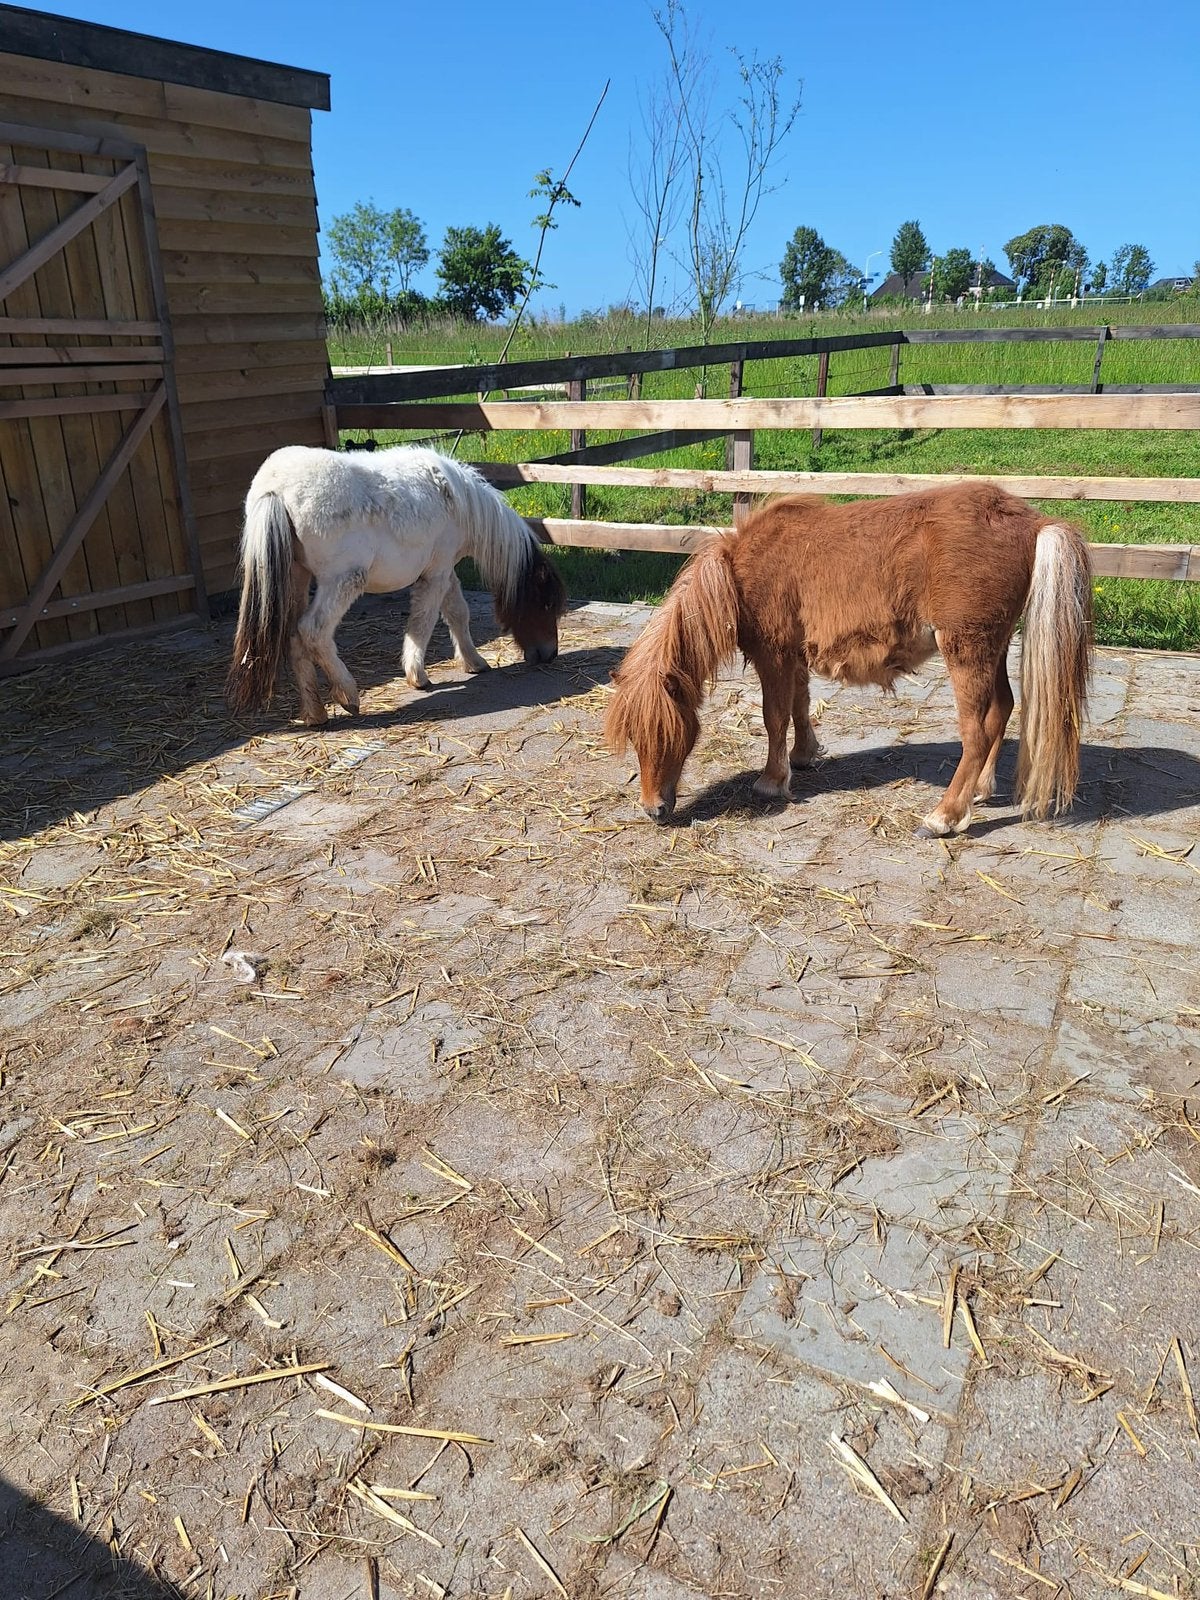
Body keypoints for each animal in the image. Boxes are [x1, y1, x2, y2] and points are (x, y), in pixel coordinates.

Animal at [225, 444, 566, 725]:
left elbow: (458, 613)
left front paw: (474, 662)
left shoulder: (444, 571)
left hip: (297, 577)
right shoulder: (436, 574)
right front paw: (418, 676)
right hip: (342, 582)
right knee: (313, 631)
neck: (457, 500)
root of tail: (274, 488)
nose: (549, 653)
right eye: (545, 603)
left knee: (295, 637)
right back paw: (348, 695)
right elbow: (423, 623)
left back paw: (315, 713)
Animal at [604, 482, 1093, 836]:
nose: (653, 810)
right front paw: (802, 756)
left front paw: (771, 781)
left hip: (966, 650)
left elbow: (774, 716)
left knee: (977, 730)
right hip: (991, 648)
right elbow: (798, 708)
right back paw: (979, 792)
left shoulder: (773, 655)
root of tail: (1035, 521)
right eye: (633, 736)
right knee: (1002, 709)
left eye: (666, 733)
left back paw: (945, 816)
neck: (739, 574)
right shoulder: (794, 657)